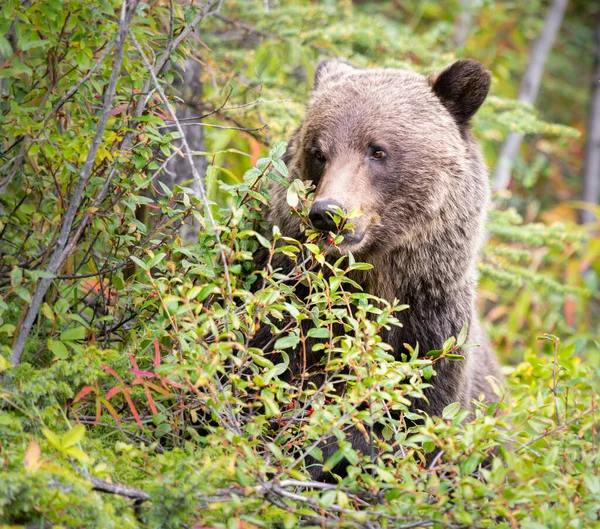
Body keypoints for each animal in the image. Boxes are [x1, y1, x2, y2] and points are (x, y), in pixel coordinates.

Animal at [258, 57, 502, 478]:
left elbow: (414, 426)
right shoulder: (291, 310)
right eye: (318, 151)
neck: (377, 277)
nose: (329, 213)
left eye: (378, 151)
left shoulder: (431, 336)